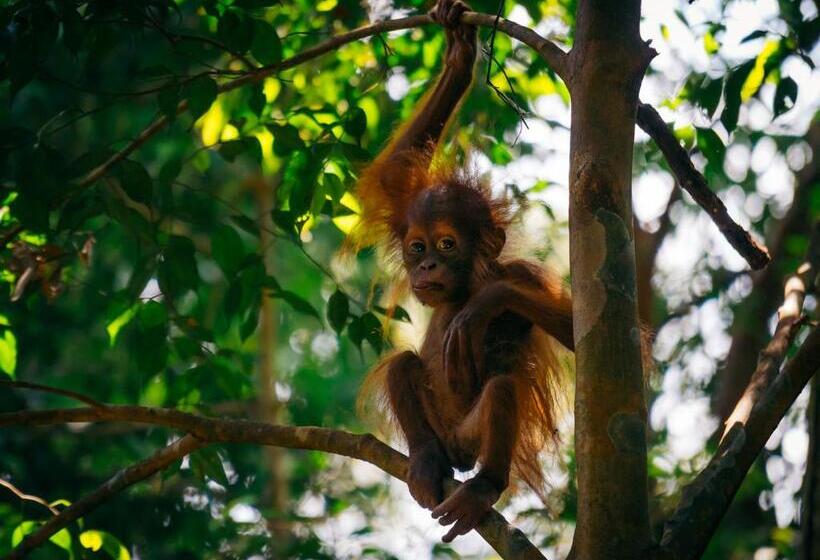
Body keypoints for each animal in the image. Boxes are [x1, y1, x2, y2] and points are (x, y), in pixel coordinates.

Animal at [354, 0, 574, 542]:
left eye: (448, 244)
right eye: (417, 247)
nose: (429, 263)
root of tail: (457, 450)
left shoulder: (524, 274)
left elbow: (581, 328)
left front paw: (484, 307)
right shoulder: (402, 209)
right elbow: (395, 171)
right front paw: (458, 55)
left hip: (472, 439)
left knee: (501, 389)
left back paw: (483, 487)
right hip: (441, 431)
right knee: (402, 364)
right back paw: (426, 461)